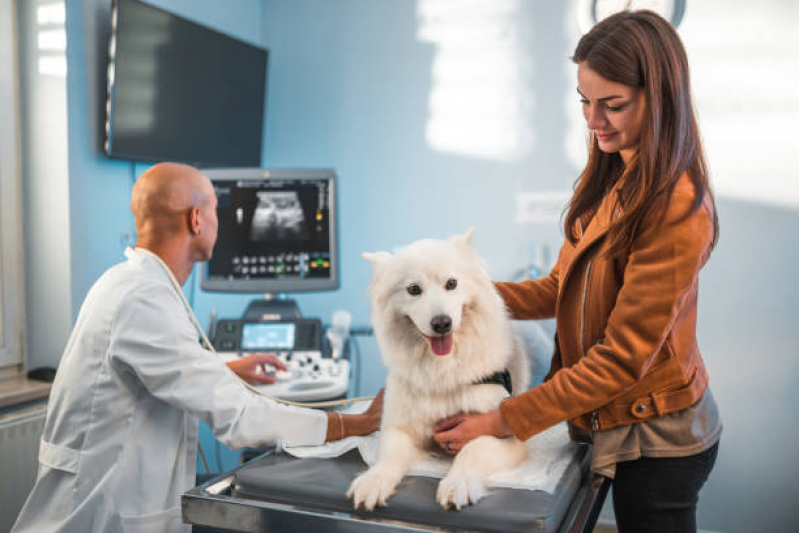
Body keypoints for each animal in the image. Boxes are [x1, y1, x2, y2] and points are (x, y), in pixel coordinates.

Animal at [348, 230, 532, 512]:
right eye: (414, 289)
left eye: (451, 284)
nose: (442, 323)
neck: (442, 370)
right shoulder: (399, 428)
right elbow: (388, 456)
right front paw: (372, 482)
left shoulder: (506, 436)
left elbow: (473, 450)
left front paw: (458, 484)